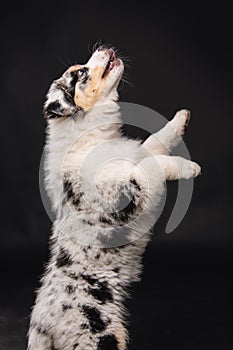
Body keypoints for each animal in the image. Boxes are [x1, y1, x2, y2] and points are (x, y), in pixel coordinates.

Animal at [27, 46, 201, 350]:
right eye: (81, 73)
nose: (103, 48)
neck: (93, 136)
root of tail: (41, 325)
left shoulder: (135, 154)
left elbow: (154, 143)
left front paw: (181, 118)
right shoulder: (127, 191)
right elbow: (153, 164)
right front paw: (189, 167)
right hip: (98, 334)